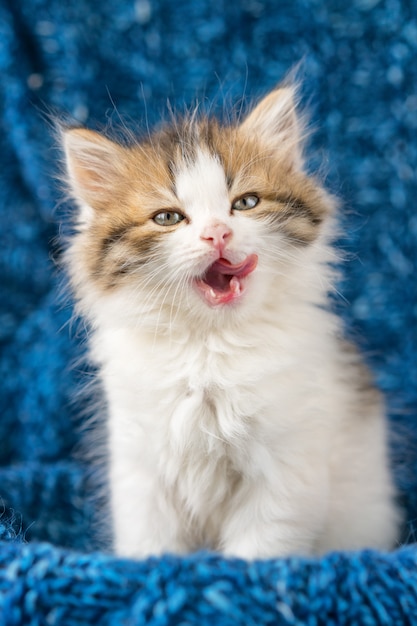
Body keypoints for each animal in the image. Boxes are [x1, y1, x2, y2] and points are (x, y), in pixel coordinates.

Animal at [61, 84, 400, 556]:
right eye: (167, 217)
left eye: (246, 202)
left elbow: (257, 551)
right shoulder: (140, 467)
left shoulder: (284, 470)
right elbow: (149, 542)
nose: (218, 232)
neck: (209, 344)